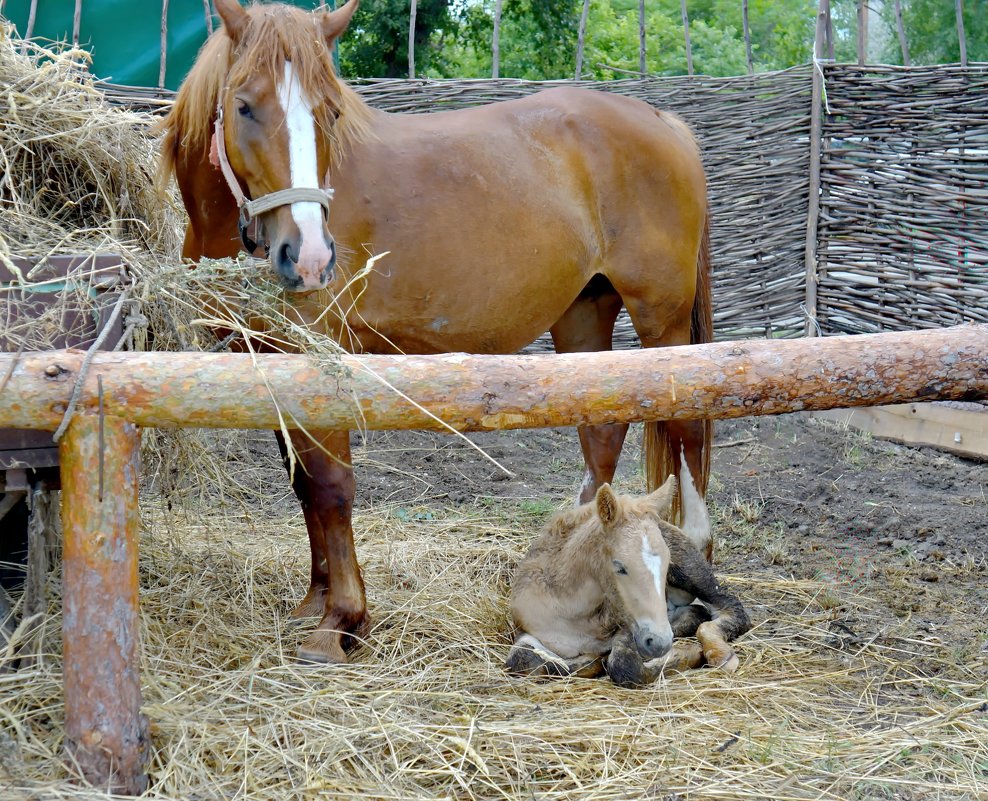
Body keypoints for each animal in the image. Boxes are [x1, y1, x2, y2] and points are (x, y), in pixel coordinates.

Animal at [158, 0, 712, 664]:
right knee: (602, 433)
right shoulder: (269, 364)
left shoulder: (321, 359)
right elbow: (302, 484)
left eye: (330, 111)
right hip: (584, 314)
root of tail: (664, 121)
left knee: (685, 430)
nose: (311, 258)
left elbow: (331, 485)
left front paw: (341, 620)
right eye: (244, 105)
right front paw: (314, 602)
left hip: (662, 320)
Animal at [510, 478, 748, 684]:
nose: (660, 643)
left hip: (691, 571)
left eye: (666, 561)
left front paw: (691, 653)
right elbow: (522, 661)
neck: (573, 613)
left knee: (729, 607)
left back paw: (721, 654)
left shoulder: (629, 625)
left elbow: (624, 665)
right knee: (696, 611)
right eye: (620, 567)